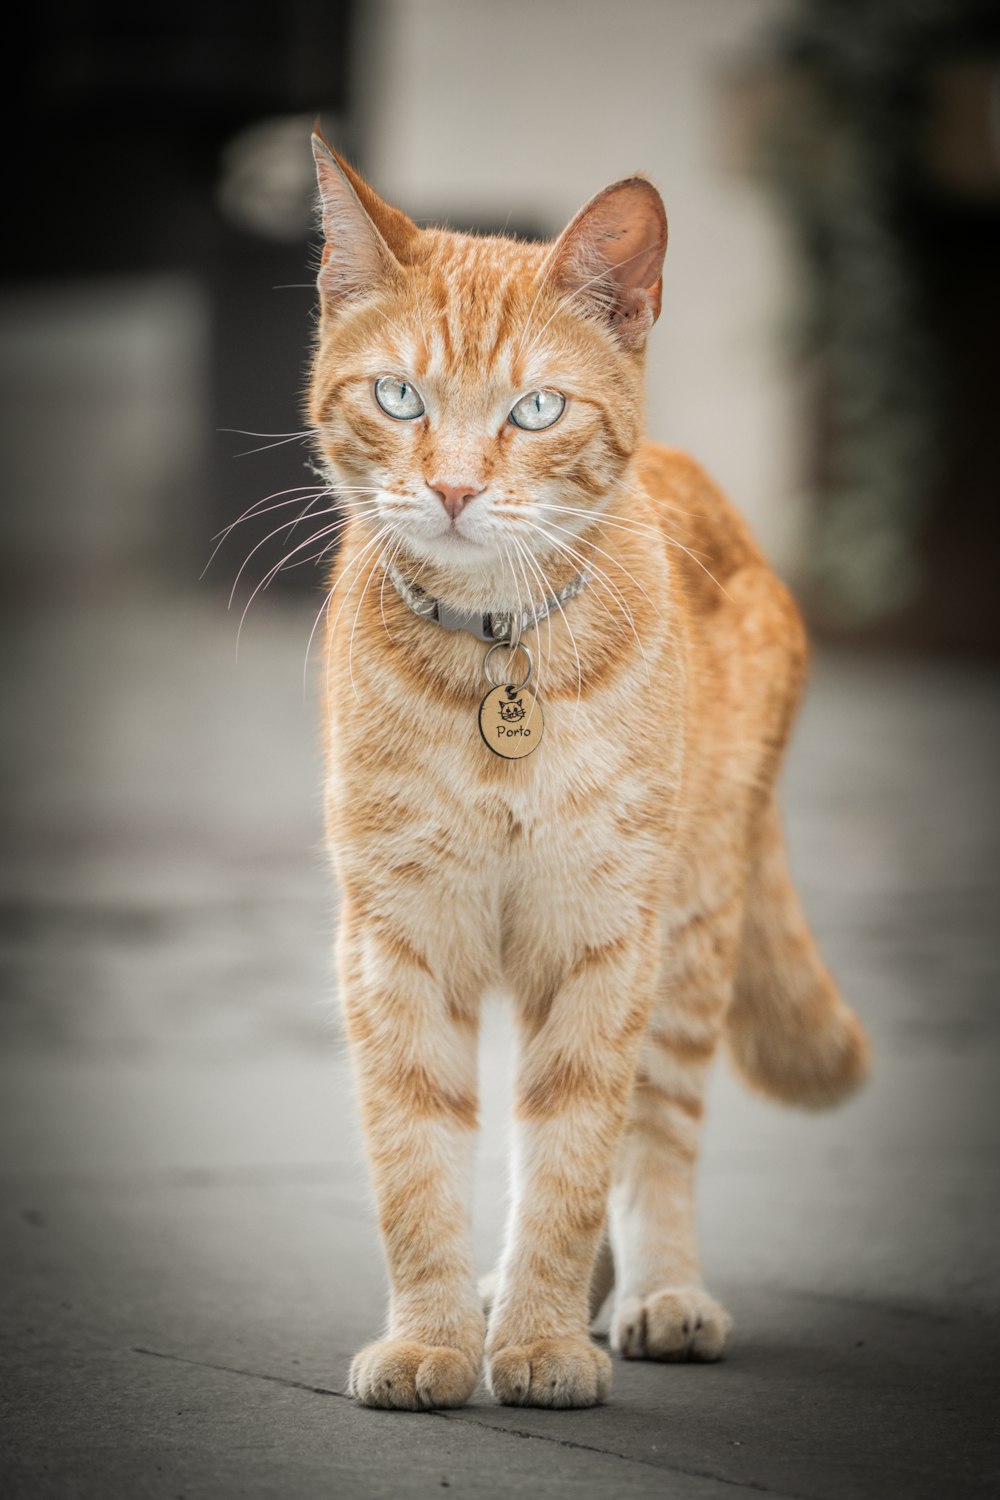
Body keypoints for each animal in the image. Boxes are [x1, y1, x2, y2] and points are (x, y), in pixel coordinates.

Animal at [308, 135, 869, 1410]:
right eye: (399, 397)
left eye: (536, 410)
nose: (454, 489)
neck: (494, 653)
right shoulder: (397, 934)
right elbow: (416, 1154)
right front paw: (432, 1339)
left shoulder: (605, 932)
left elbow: (573, 1153)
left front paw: (543, 1342)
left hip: (687, 931)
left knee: (650, 1134)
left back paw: (653, 1295)